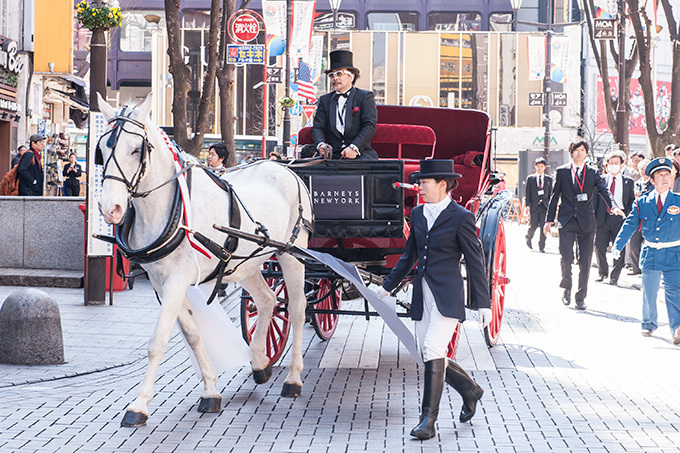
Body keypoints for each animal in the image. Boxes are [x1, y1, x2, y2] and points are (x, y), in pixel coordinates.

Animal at [95, 93, 314, 426]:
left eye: (135, 149)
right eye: (102, 149)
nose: (111, 209)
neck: (169, 209)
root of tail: (286, 169)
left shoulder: (176, 280)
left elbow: (158, 342)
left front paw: (139, 405)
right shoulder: (160, 282)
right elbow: (193, 334)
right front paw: (211, 390)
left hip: (292, 253)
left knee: (298, 309)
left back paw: (293, 378)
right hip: (245, 263)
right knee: (266, 301)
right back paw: (260, 363)